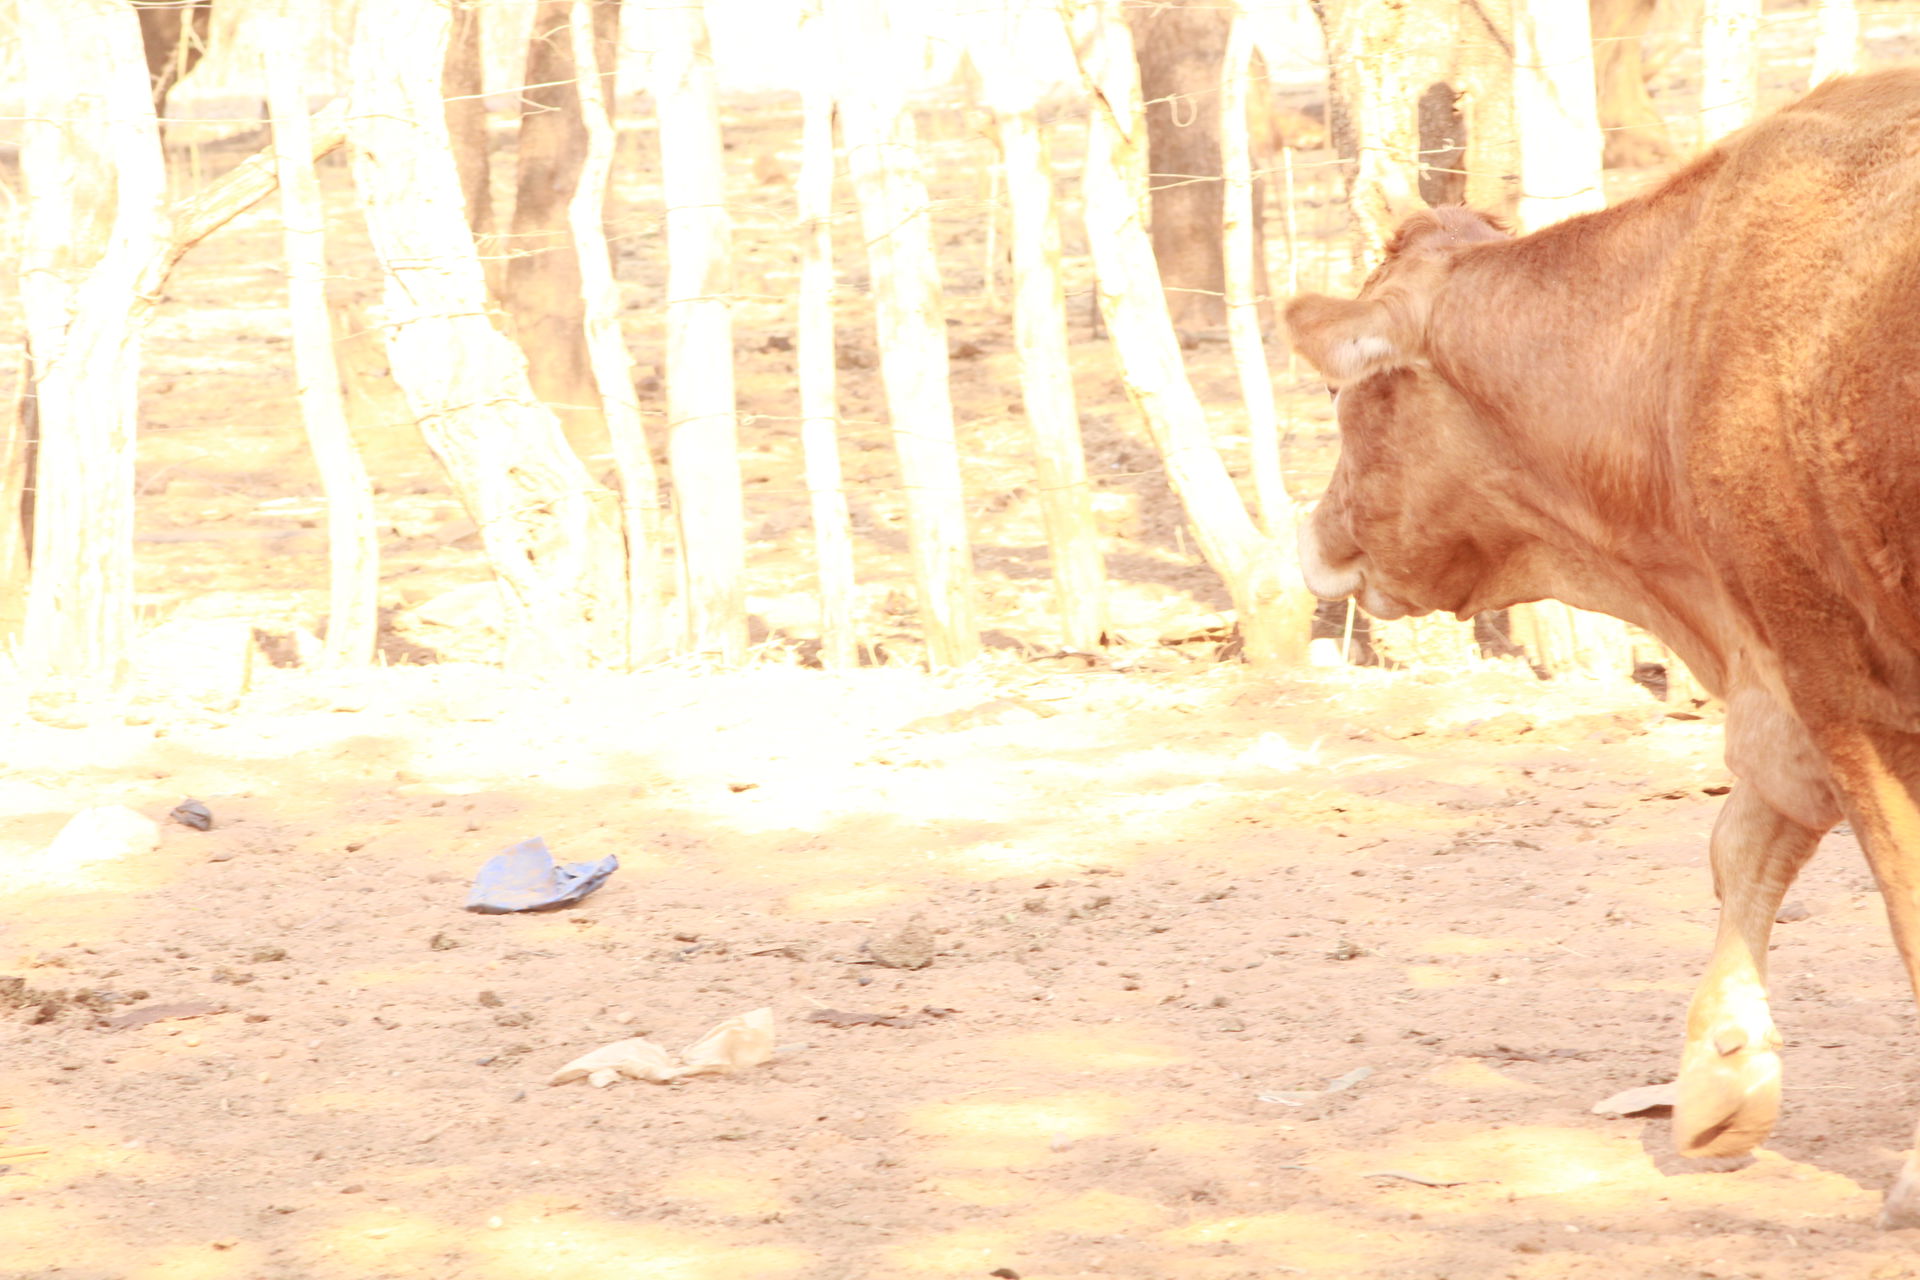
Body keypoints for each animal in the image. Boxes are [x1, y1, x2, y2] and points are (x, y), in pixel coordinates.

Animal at [1283, 68, 1920, 1226]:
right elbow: (1741, 844)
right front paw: (1719, 1077)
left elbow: (1898, 897)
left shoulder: (1839, 674)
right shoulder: (1782, 673)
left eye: (1344, 393)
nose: (1312, 534)